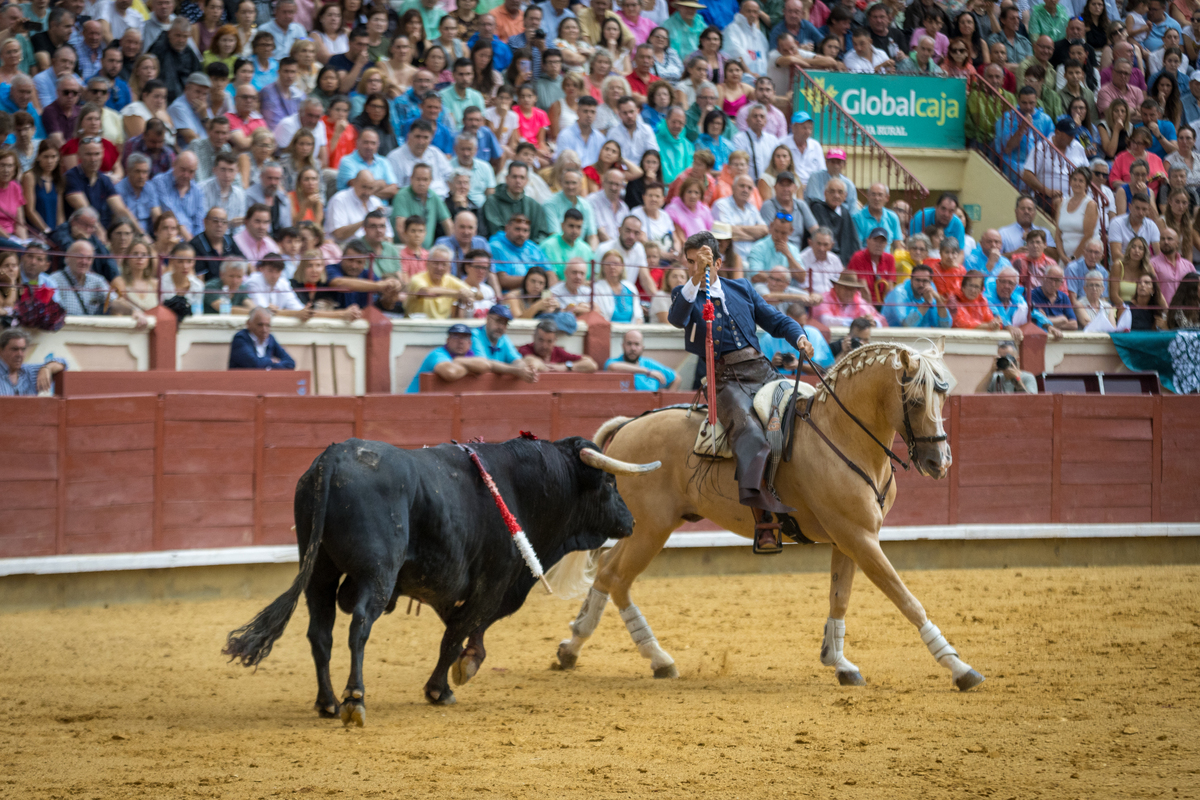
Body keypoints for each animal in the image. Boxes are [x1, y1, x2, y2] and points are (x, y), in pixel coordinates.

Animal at [225, 438, 657, 724]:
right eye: (609, 484)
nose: (632, 522)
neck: (522, 486)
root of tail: (333, 457)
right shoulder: (494, 580)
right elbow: (460, 630)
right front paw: (443, 687)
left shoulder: (450, 585)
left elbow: (461, 627)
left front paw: (466, 663)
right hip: (377, 574)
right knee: (359, 626)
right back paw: (354, 699)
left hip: (318, 571)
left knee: (320, 632)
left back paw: (327, 702)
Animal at [549, 340, 988, 690]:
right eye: (914, 400)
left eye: (944, 398)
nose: (940, 462)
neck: (843, 434)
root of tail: (629, 425)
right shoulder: (859, 537)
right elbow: (907, 600)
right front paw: (960, 668)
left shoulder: (852, 538)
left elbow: (840, 598)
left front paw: (839, 662)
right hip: (650, 528)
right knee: (616, 576)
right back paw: (655, 657)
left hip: (649, 528)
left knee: (608, 571)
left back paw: (577, 646)